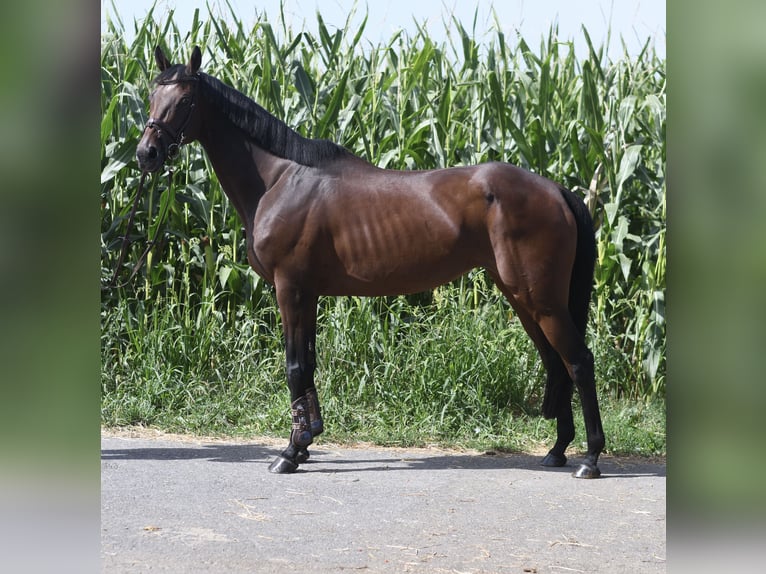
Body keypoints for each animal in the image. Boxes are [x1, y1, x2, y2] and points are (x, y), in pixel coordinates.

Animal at [136, 45, 605, 478]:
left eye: (185, 101)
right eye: (151, 95)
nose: (146, 154)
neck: (279, 180)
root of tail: (556, 191)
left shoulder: (290, 289)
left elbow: (293, 367)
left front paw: (289, 453)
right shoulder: (308, 294)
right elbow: (308, 365)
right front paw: (306, 441)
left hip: (541, 300)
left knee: (579, 362)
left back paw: (591, 459)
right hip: (524, 298)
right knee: (556, 363)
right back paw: (557, 451)